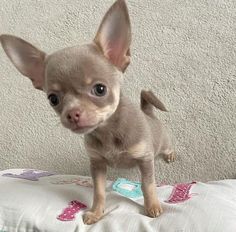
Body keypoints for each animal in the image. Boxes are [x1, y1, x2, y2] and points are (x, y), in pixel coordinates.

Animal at [0, 0, 175, 225]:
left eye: (100, 89)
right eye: (53, 99)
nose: (72, 113)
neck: (108, 132)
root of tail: (148, 112)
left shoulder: (145, 160)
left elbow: (148, 185)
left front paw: (152, 206)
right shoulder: (97, 164)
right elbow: (99, 191)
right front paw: (96, 212)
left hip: (162, 144)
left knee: (167, 148)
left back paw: (170, 156)